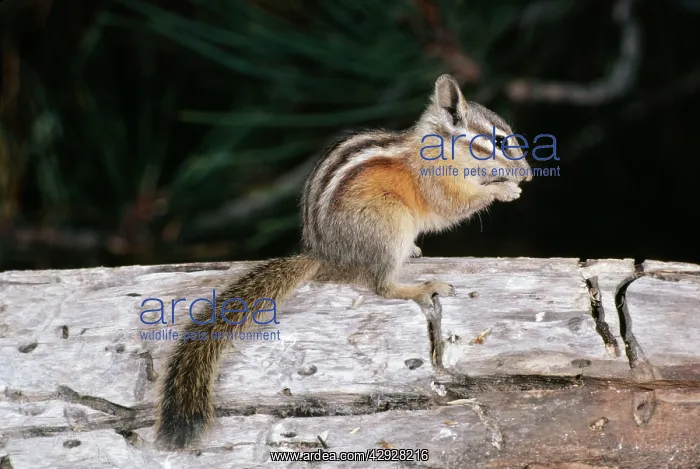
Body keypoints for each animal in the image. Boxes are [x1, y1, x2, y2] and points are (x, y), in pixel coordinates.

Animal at [155, 74, 532, 449]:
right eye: (498, 142)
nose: (528, 174)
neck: (443, 149)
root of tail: (325, 255)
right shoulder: (439, 185)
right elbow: (456, 205)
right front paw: (503, 190)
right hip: (389, 224)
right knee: (382, 286)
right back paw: (422, 287)